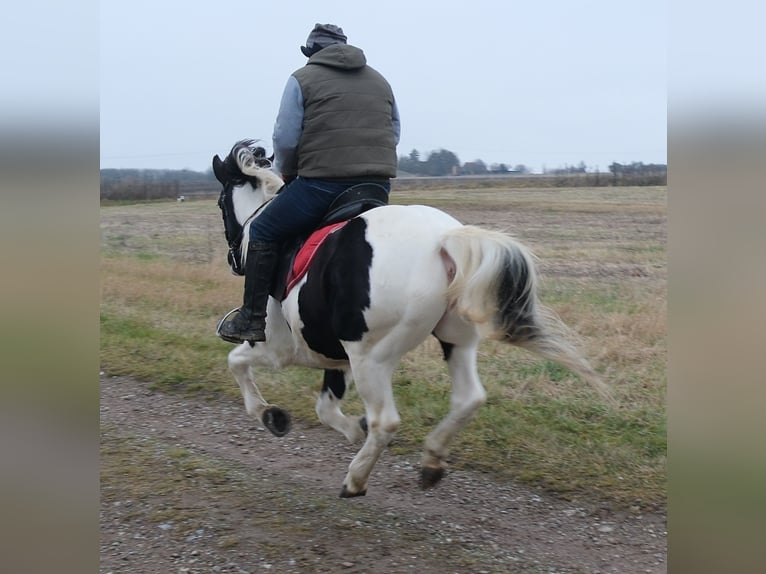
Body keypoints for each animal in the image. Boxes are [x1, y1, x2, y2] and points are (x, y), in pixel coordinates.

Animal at [211, 140, 613, 498]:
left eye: (220, 202)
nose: (232, 260)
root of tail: (441, 239)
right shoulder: (337, 357)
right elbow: (325, 407)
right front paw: (351, 429)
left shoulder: (282, 349)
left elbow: (236, 362)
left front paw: (270, 415)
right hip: (455, 340)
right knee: (468, 398)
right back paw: (430, 462)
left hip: (372, 358)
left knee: (386, 421)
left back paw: (356, 479)